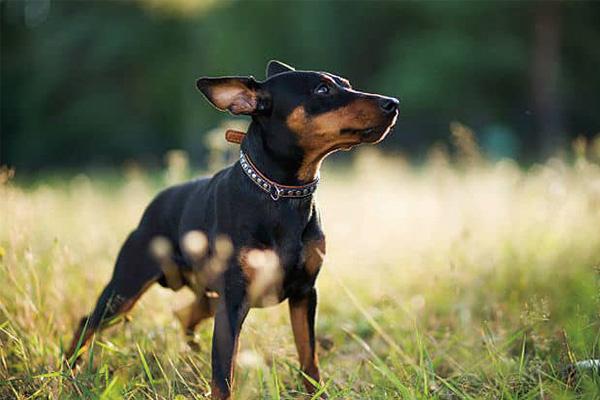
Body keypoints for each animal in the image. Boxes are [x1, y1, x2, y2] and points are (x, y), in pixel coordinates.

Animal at [67, 60, 398, 400]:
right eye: (322, 89)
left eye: (346, 84)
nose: (393, 104)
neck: (281, 195)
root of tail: (154, 204)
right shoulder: (234, 302)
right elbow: (224, 375)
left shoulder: (305, 293)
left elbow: (309, 357)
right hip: (126, 288)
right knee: (87, 322)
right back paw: (70, 371)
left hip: (206, 297)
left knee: (184, 315)